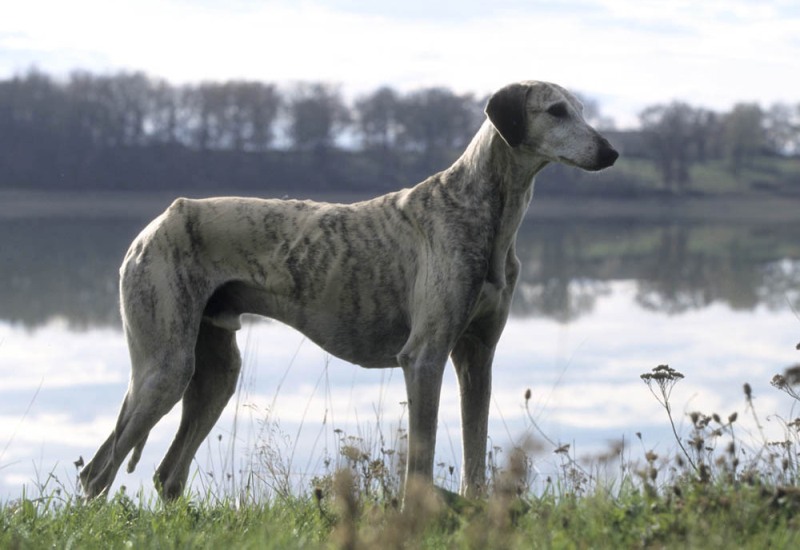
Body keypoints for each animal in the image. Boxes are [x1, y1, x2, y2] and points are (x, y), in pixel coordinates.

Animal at [79, 81, 620, 500]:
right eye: (556, 110)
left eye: (582, 108)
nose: (611, 152)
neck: (484, 213)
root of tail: (157, 222)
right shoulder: (423, 357)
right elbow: (421, 458)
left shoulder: (476, 357)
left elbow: (474, 453)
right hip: (165, 369)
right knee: (98, 472)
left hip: (213, 373)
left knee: (166, 474)